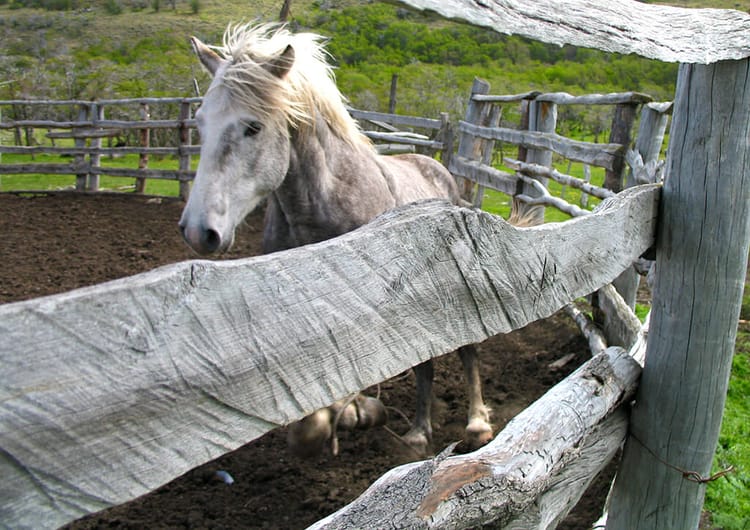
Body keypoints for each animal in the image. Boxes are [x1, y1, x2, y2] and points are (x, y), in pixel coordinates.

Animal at [179, 22, 493, 456]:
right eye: (200, 123)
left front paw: (356, 411)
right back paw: (417, 432)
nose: (198, 230)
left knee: (469, 350)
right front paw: (344, 416)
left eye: (252, 126)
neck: (320, 204)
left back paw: (477, 424)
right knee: (424, 363)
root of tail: (442, 175)